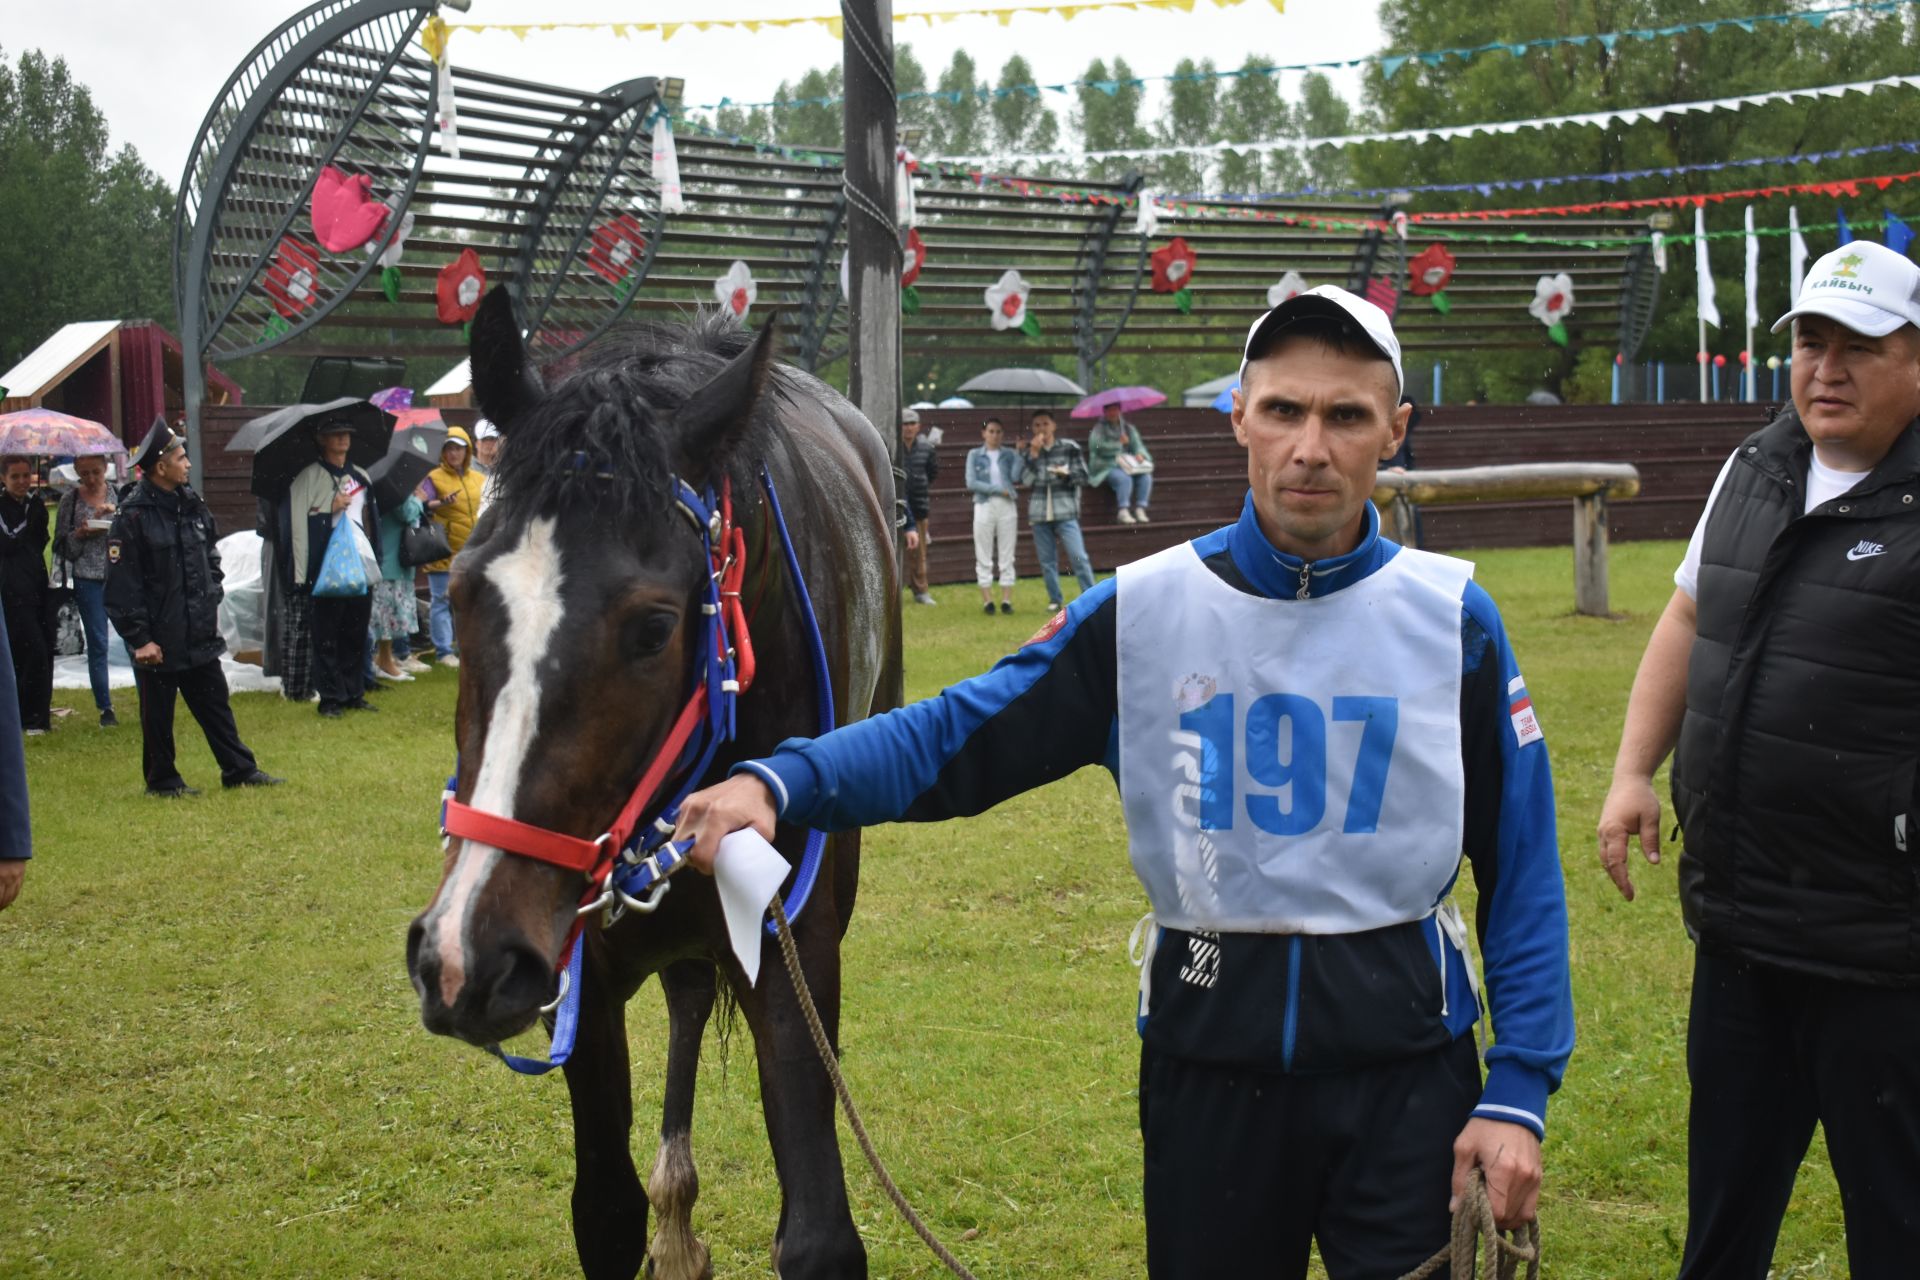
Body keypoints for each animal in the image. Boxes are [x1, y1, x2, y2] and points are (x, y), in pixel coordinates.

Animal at [405, 289, 898, 1280]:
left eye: (655, 626)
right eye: (466, 593)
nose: (463, 956)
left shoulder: (786, 933)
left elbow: (819, 1234)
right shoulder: (579, 964)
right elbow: (605, 1212)